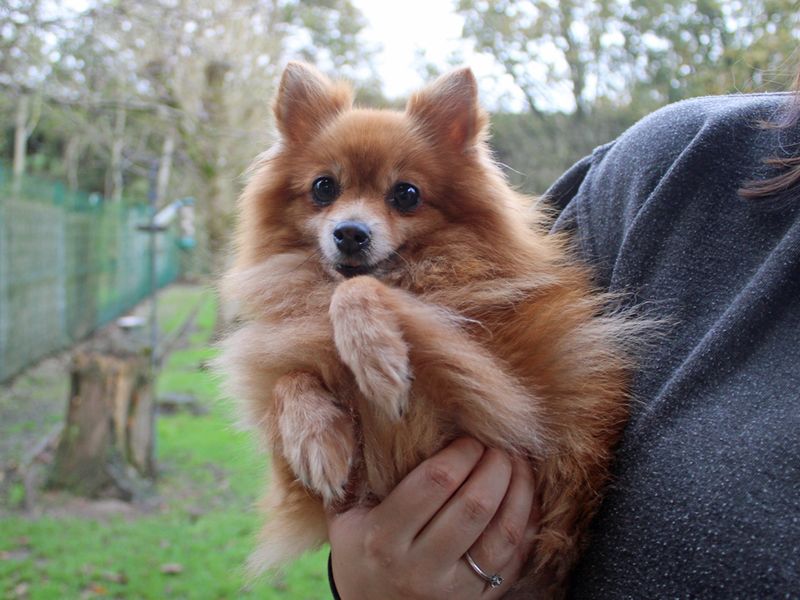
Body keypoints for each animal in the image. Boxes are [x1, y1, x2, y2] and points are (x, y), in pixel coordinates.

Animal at [217, 61, 636, 596]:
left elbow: (356, 293)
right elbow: (290, 380)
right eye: (323, 188)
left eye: (406, 194)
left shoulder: (502, 394)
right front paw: (315, 439)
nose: (350, 232)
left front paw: (378, 361)